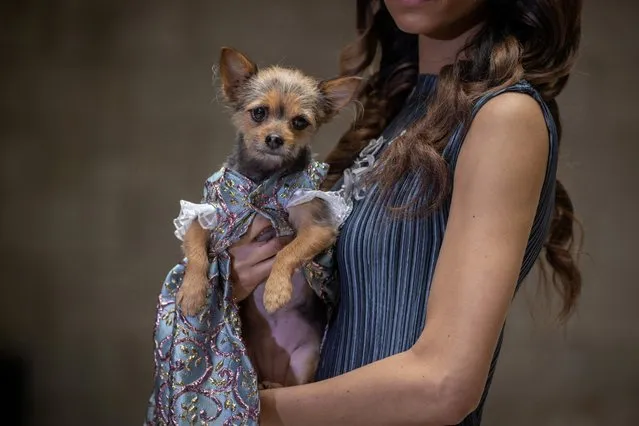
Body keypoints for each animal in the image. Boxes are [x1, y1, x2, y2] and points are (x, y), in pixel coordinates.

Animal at [175, 46, 358, 386]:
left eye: (300, 122)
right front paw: (192, 292)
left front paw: (276, 291)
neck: (262, 179)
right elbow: (195, 251)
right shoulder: (203, 214)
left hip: (305, 361)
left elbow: (288, 252)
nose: (275, 139)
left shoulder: (317, 226)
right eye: (259, 113)